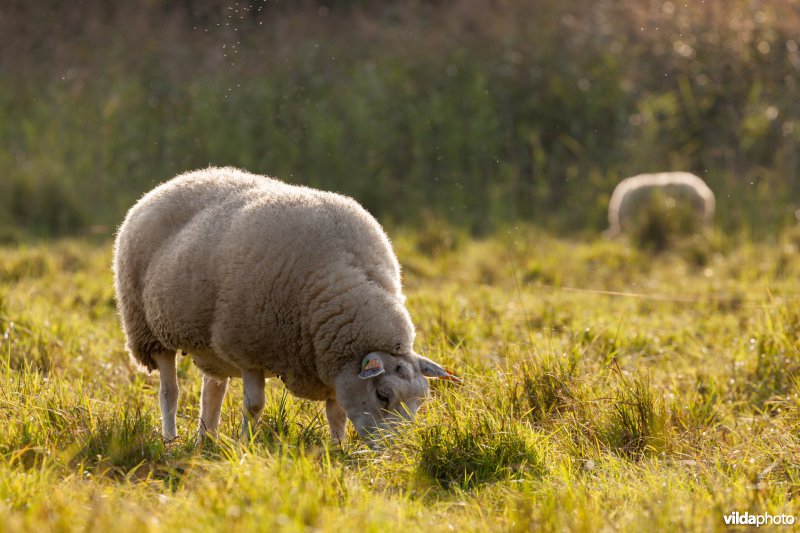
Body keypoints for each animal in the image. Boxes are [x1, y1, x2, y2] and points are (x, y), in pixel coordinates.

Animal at [111, 166, 456, 444]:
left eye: (420, 402)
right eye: (383, 395)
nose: (398, 451)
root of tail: (170, 183)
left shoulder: (328, 363)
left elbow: (336, 412)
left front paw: (338, 449)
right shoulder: (247, 347)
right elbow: (254, 405)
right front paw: (246, 446)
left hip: (210, 344)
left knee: (212, 390)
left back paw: (205, 439)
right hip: (148, 329)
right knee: (170, 391)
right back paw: (170, 440)